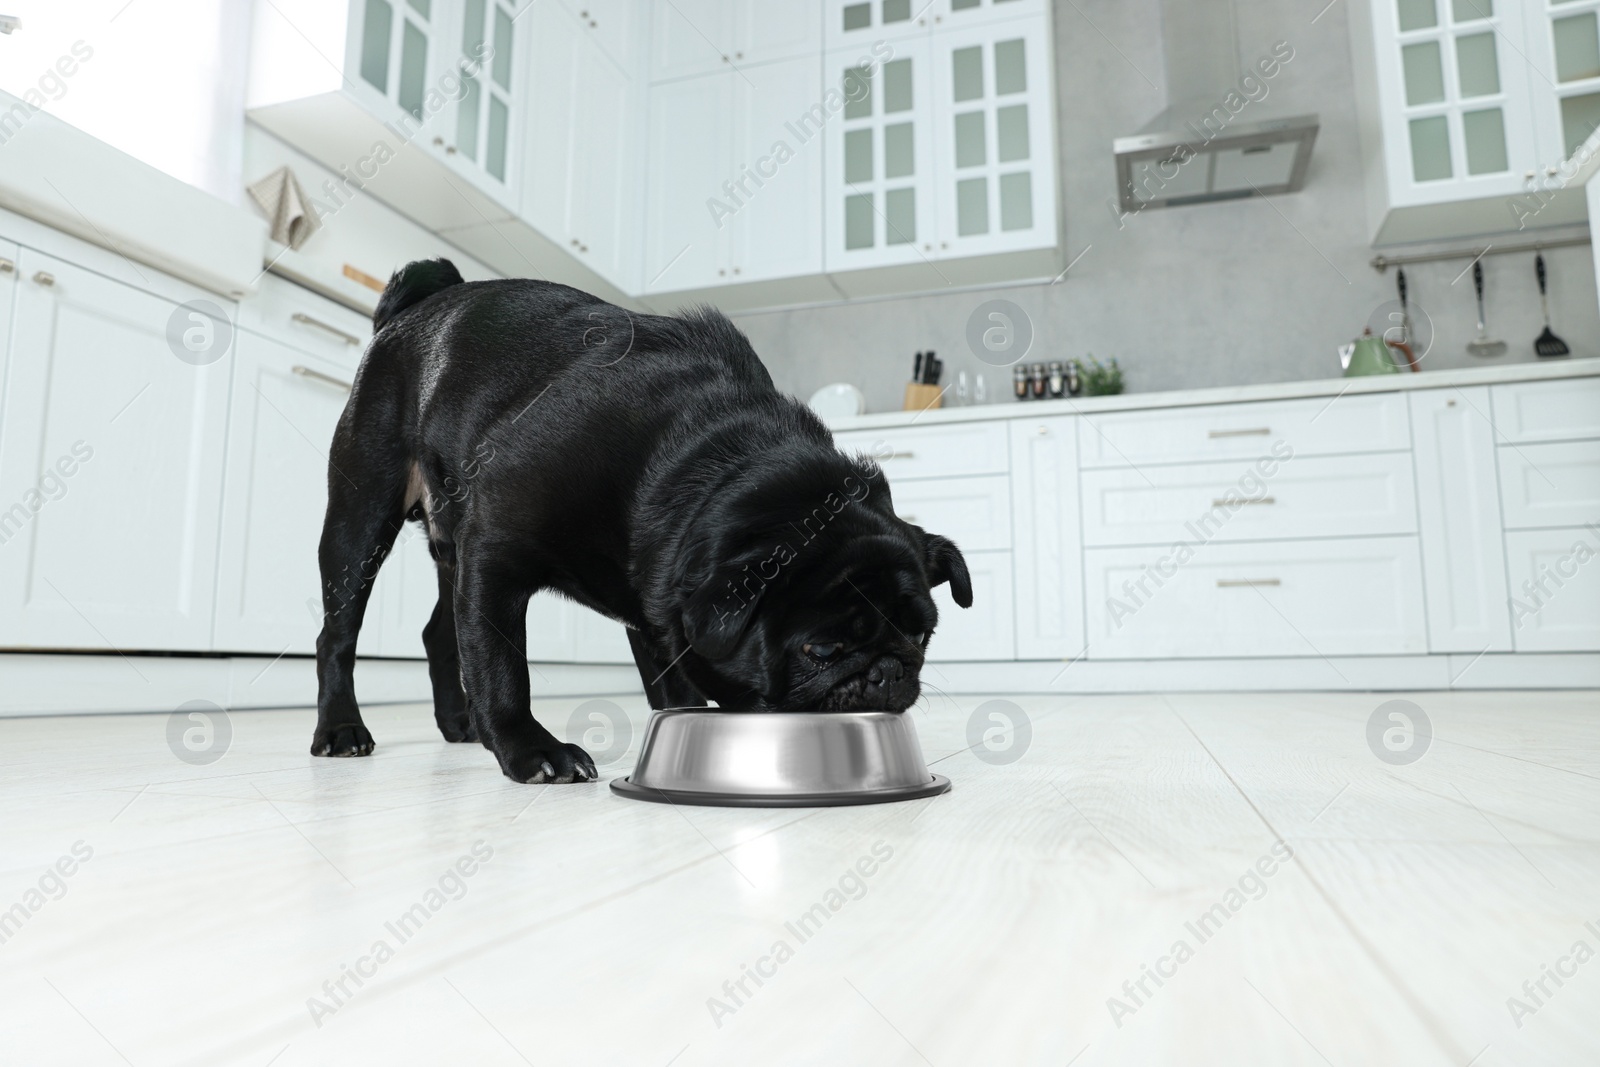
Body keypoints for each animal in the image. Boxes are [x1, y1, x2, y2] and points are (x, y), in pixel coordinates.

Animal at [305, 260, 966, 783]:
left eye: (922, 636)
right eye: (821, 649)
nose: (890, 671)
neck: (706, 459)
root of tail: (408, 312)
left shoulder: (651, 602)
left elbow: (670, 679)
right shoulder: (495, 557)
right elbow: (501, 667)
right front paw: (531, 750)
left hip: (452, 554)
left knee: (439, 635)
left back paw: (458, 723)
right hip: (362, 518)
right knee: (338, 634)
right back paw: (342, 730)